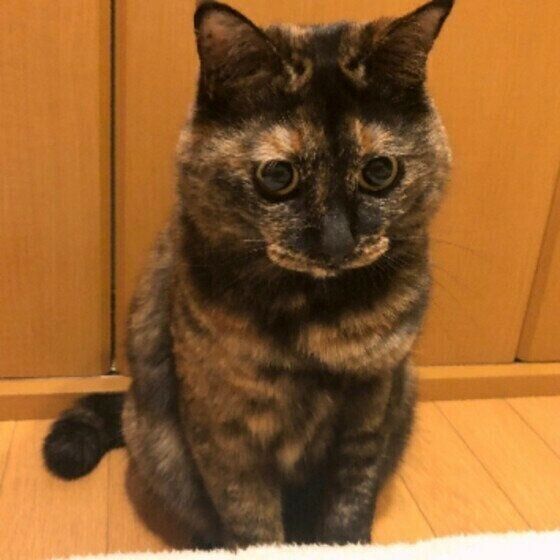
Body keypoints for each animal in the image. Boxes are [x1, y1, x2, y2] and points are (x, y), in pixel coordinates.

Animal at [44, 0, 453, 549]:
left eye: (380, 171)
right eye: (278, 176)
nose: (338, 242)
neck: (316, 318)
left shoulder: (370, 409)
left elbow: (349, 504)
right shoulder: (227, 428)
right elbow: (250, 519)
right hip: (161, 446)